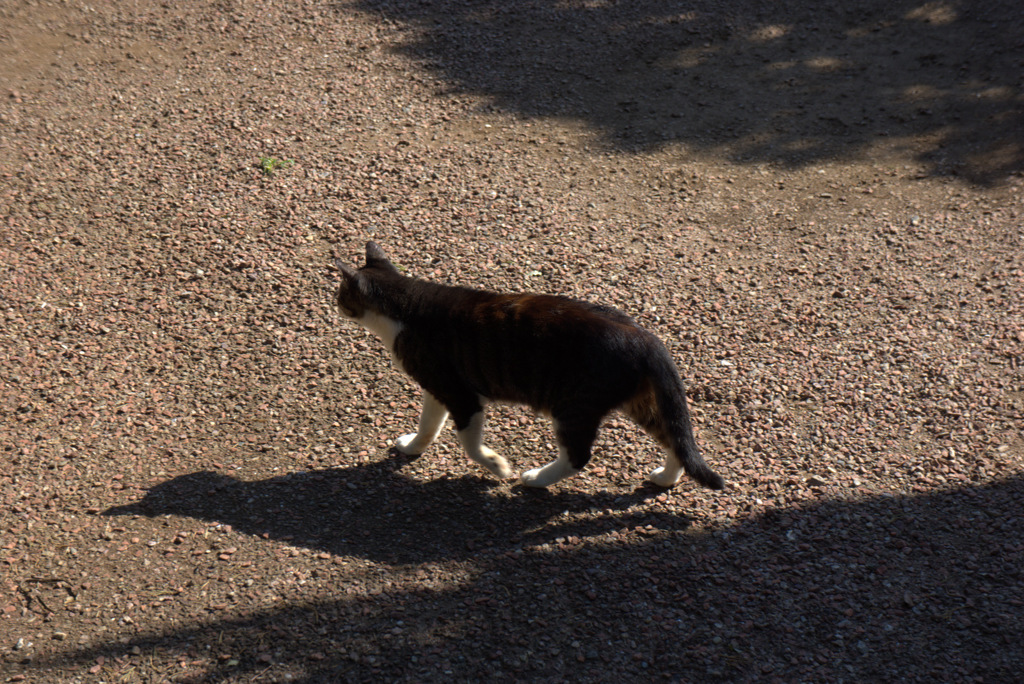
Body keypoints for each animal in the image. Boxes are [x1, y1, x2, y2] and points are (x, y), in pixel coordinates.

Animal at [331, 242, 724, 489]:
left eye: (340, 294)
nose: (334, 303)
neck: (405, 303)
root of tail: (647, 338)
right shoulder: (438, 386)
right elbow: (428, 425)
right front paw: (412, 447)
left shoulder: (462, 395)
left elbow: (469, 444)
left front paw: (497, 465)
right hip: (638, 401)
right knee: (675, 440)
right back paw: (665, 479)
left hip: (573, 405)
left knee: (579, 456)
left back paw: (536, 479)